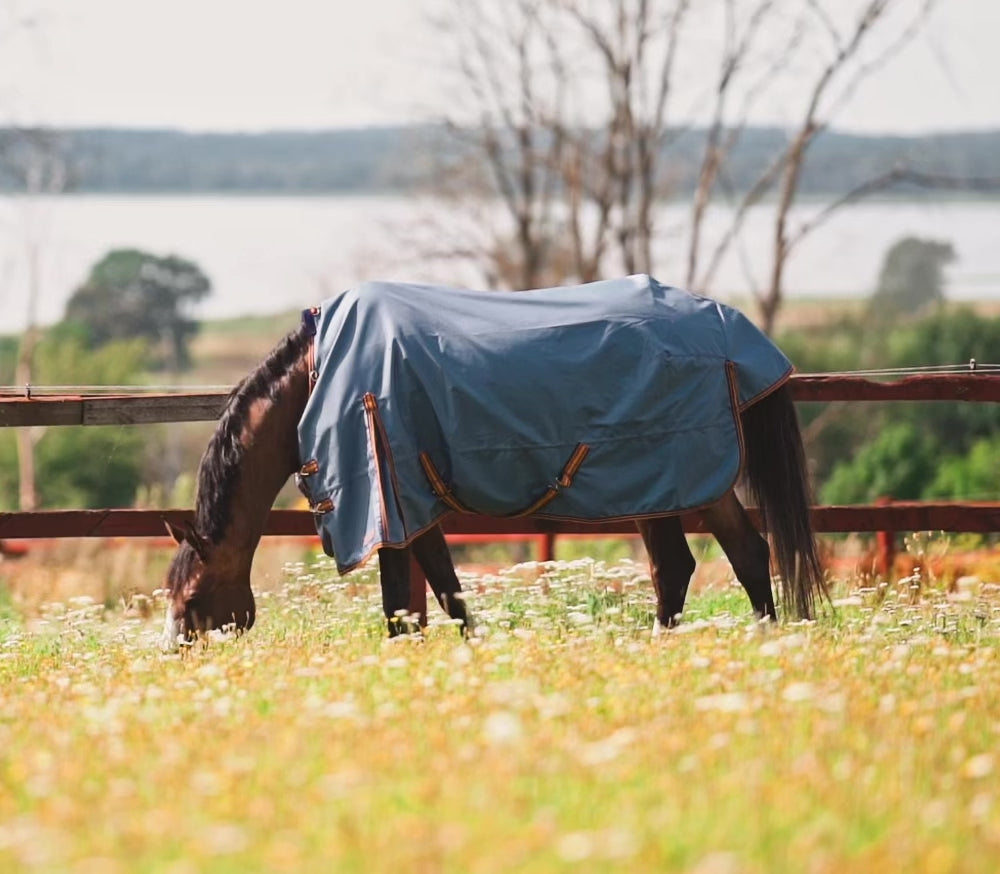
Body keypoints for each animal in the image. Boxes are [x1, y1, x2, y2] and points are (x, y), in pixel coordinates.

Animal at [162, 276, 820, 644]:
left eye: (191, 602)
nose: (176, 657)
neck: (323, 372)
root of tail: (733, 334)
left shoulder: (390, 504)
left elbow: (407, 603)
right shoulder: (409, 507)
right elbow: (437, 594)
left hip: (672, 480)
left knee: (702, 563)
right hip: (680, 483)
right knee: (727, 558)